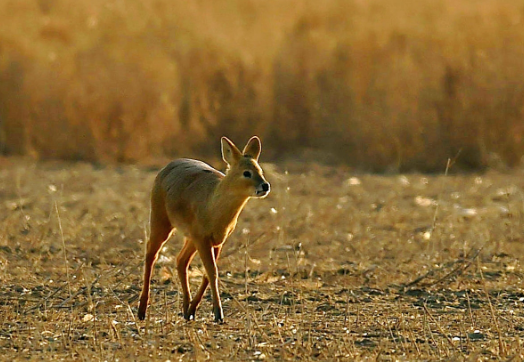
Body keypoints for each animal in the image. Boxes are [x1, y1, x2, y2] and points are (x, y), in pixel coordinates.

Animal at [138, 136, 270, 322]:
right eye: (246, 172)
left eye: (260, 170)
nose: (265, 186)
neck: (213, 207)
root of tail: (166, 167)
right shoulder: (202, 237)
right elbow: (212, 271)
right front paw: (218, 314)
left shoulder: (217, 240)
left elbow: (208, 273)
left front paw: (195, 309)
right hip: (160, 219)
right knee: (151, 254)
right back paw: (142, 310)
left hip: (190, 237)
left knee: (181, 260)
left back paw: (186, 309)